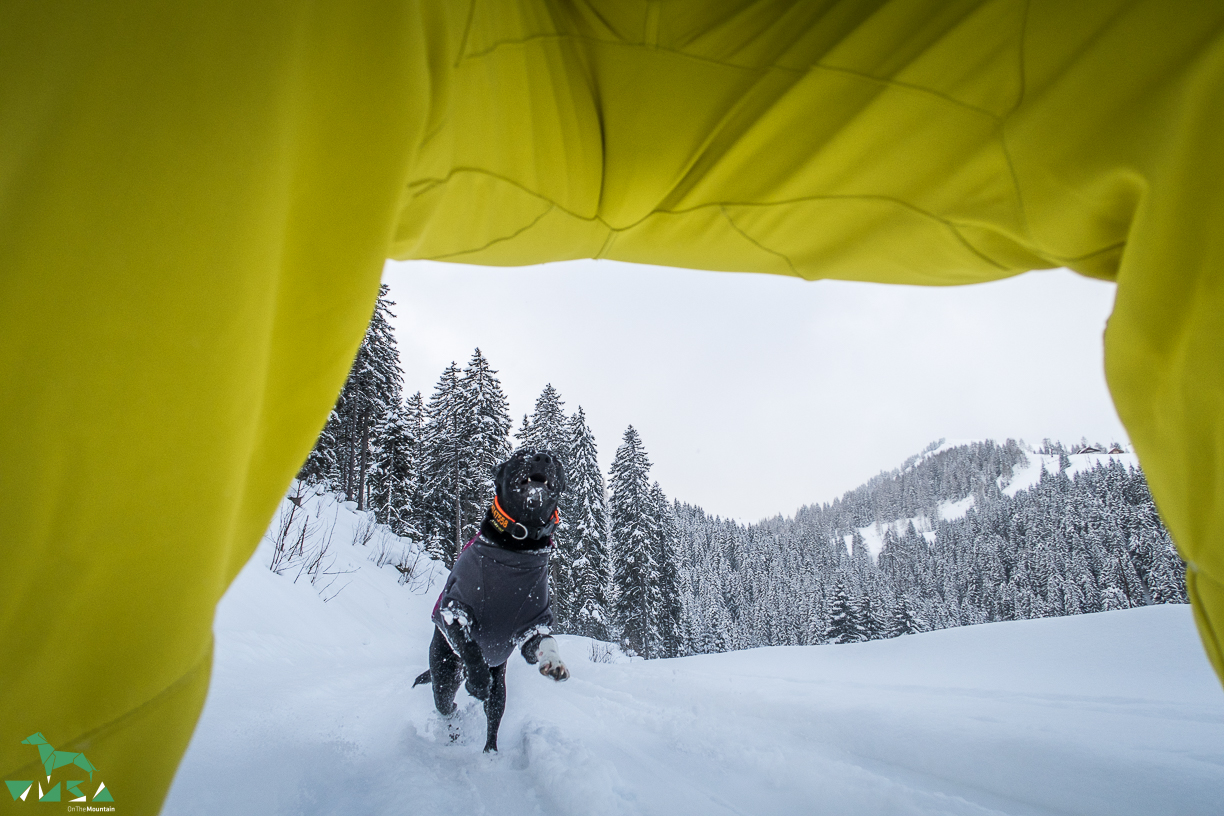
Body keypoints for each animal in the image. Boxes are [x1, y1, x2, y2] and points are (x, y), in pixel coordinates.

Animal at [413, 452, 570, 753]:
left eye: (556, 461)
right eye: (520, 455)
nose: (543, 457)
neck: (516, 550)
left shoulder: (532, 627)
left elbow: (548, 642)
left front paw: (555, 664)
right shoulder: (454, 607)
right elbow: (471, 646)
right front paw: (477, 679)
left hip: (500, 690)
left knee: (492, 718)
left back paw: (491, 754)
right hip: (443, 674)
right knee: (448, 706)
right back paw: (456, 726)